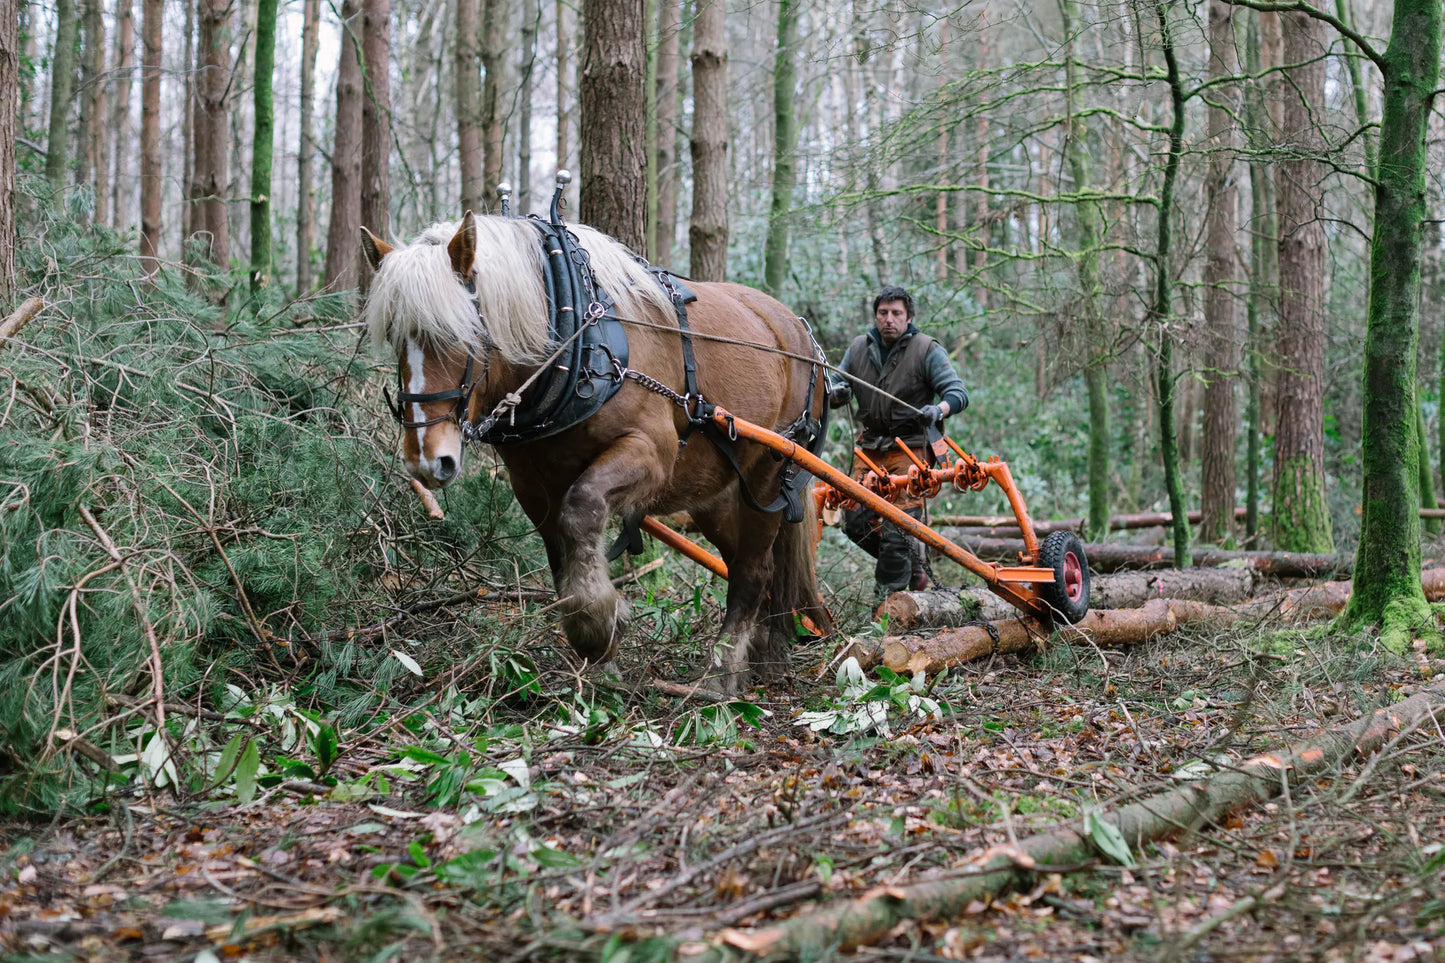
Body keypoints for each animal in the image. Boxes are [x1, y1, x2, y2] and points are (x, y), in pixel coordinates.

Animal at [358, 210, 832, 693]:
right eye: (394, 337)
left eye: (459, 333)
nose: (426, 459)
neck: (573, 342)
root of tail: (798, 329)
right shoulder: (532, 483)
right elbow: (559, 551)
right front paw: (597, 648)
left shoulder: (651, 453)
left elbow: (581, 510)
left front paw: (600, 623)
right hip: (714, 497)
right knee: (746, 564)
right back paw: (764, 654)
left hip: (769, 475)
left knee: (754, 569)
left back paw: (721, 671)